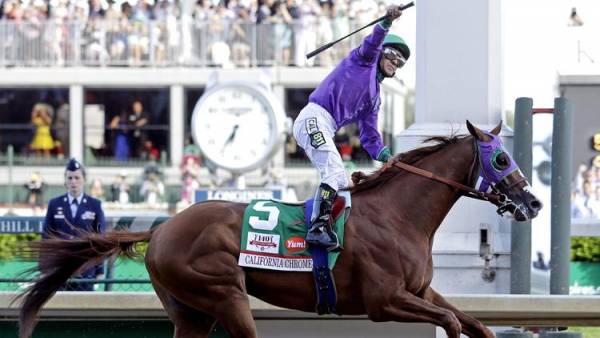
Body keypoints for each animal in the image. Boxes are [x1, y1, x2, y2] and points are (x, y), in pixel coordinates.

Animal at [17, 121, 544, 338]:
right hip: (223, 293)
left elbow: (475, 323)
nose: (534, 202)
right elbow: (453, 324)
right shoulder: (383, 301)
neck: (397, 214)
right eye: (501, 159)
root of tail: (162, 229)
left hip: (191, 312)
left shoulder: (421, 291)